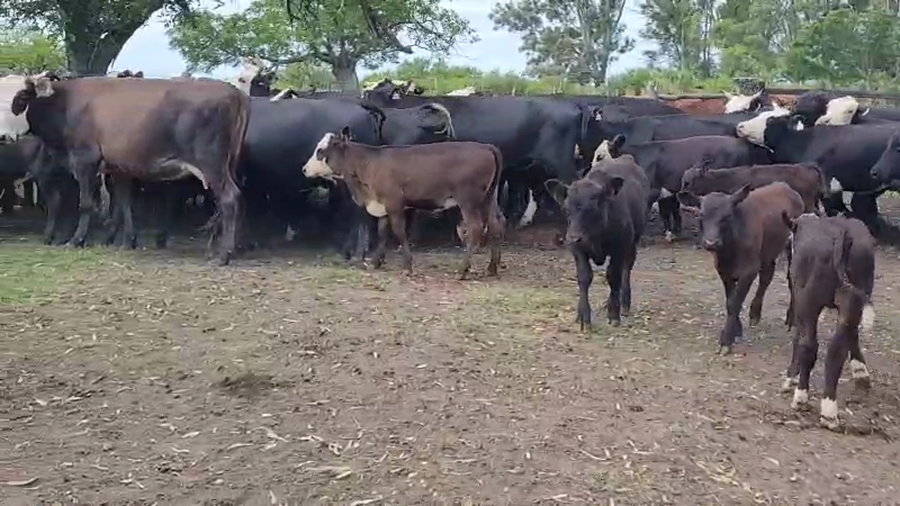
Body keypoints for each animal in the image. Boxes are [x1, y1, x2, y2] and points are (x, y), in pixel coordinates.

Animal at [8, 72, 249, 264]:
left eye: (21, 97)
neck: (66, 104)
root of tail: (234, 92)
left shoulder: (85, 161)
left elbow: (85, 204)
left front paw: (76, 240)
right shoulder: (119, 168)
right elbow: (124, 205)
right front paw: (127, 241)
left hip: (212, 163)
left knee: (229, 198)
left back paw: (224, 254)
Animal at [302, 127, 504, 278]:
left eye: (320, 151)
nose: (304, 169)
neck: (368, 164)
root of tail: (486, 147)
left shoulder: (394, 204)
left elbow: (399, 231)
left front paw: (407, 266)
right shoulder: (383, 206)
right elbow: (382, 233)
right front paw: (376, 262)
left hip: (468, 201)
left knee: (476, 228)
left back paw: (463, 270)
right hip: (488, 199)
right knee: (496, 224)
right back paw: (492, 268)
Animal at [545, 154, 649, 330]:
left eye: (593, 209)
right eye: (566, 210)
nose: (573, 237)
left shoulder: (619, 247)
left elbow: (613, 276)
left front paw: (614, 314)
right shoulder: (578, 249)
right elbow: (584, 277)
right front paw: (583, 316)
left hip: (633, 242)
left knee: (626, 268)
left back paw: (624, 303)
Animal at [679, 182, 804, 354]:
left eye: (727, 216)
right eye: (701, 216)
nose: (711, 243)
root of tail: (784, 186)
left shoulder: (749, 270)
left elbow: (735, 302)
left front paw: (726, 340)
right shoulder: (723, 269)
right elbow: (730, 300)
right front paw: (736, 331)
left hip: (790, 247)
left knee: (791, 279)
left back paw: (791, 318)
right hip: (768, 250)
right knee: (766, 276)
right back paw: (755, 313)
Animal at [780, 213, 875, 431]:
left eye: (789, 244)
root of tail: (840, 235)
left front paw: (791, 377)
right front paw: (861, 372)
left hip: (807, 300)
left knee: (809, 344)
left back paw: (802, 397)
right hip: (852, 299)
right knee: (836, 350)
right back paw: (830, 410)